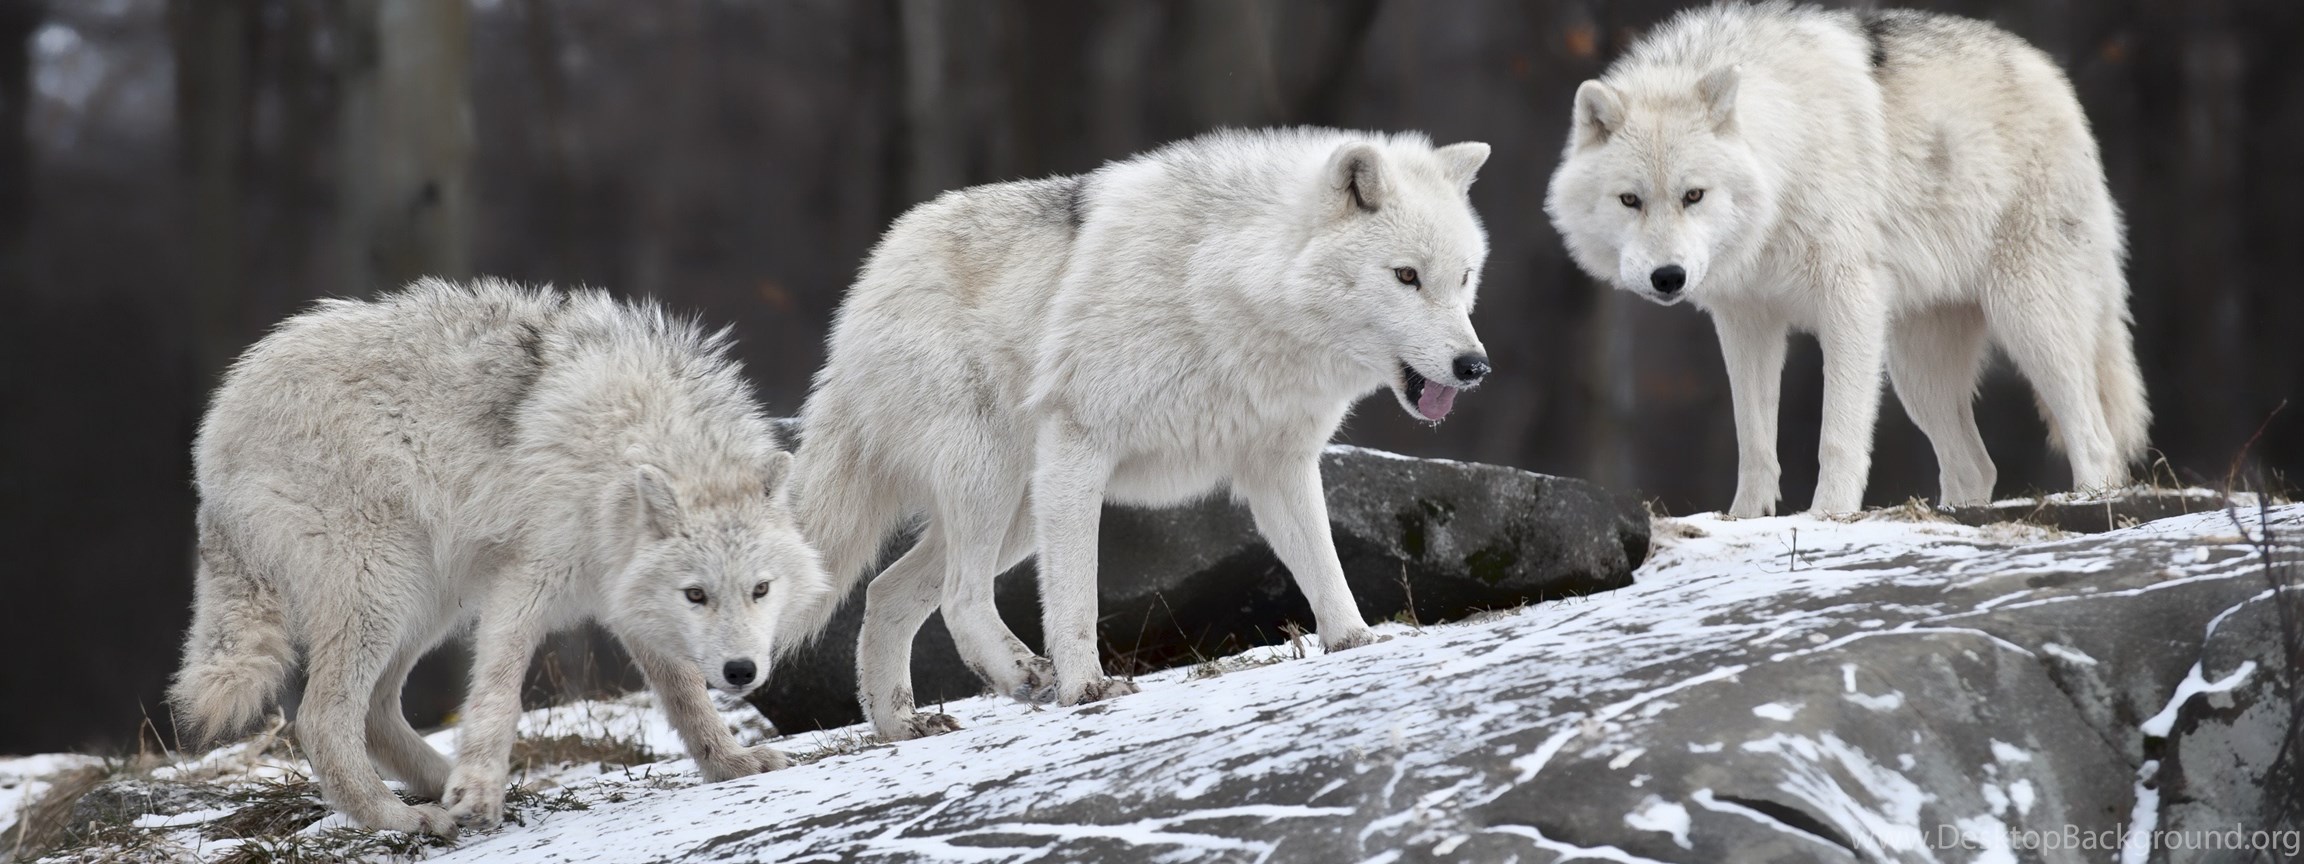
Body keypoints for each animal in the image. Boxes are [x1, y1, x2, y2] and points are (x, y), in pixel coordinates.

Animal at [172, 281, 838, 834]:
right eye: (697, 594)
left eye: (761, 590)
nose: (741, 672)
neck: (622, 447)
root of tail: (215, 426)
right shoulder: (525, 583)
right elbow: (498, 694)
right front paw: (478, 790)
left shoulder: (625, 598)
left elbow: (684, 696)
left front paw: (730, 763)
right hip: (387, 589)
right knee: (322, 720)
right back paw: (402, 818)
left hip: (429, 601)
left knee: (376, 714)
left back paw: (447, 787)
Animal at [1548, 3, 2138, 518]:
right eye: (1630, 200)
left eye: (1693, 195)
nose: (1668, 277)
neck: (1785, 160)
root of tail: (2053, 75)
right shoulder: (1746, 321)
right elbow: (1754, 441)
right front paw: (1745, 519)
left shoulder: (1849, 304)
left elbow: (1837, 435)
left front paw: (1828, 515)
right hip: (1915, 369)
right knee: (1977, 466)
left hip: (2028, 321)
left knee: (2096, 440)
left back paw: (2091, 504)